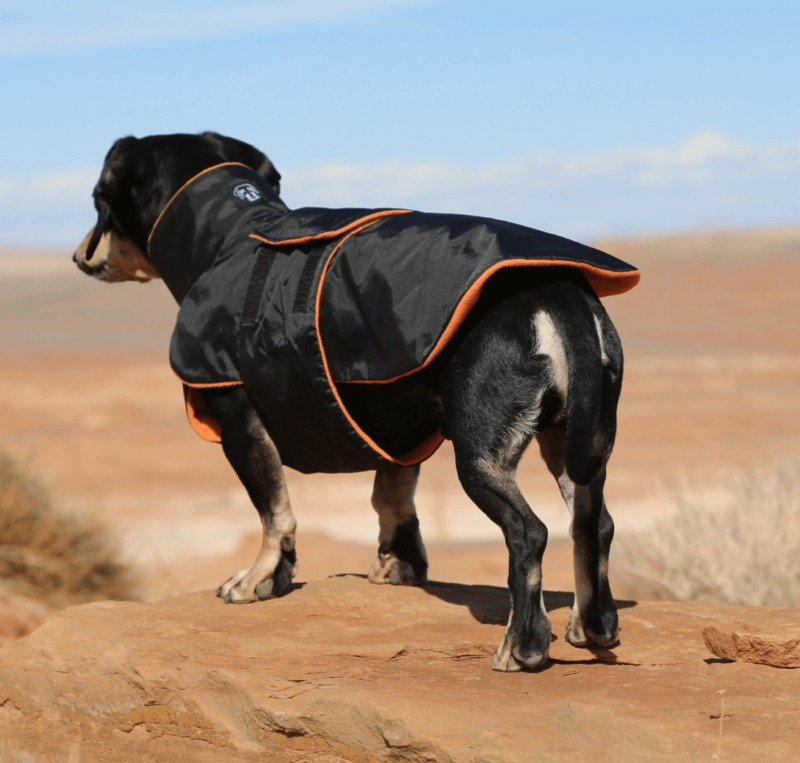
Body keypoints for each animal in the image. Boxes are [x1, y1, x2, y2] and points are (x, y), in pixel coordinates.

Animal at [73, 133, 636, 676]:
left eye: (101, 200)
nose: (80, 256)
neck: (228, 235)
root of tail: (559, 295)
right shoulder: (399, 426)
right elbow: (391, 498)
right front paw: (399, 565)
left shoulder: (240, 422)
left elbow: (274, 513)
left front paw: (258, 579)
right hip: (573, 444)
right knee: (594, 524)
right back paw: (593, 626)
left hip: (481, 456)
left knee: (529, 533)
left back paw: (522, 646)